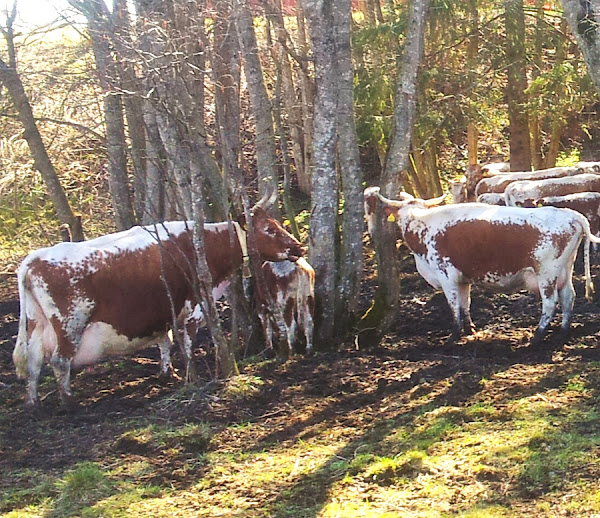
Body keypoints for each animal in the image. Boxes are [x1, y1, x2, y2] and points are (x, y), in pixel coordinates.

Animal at [12, 193, 304, 412]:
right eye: (269, 229)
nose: (298, 247)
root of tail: (34, 259)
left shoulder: (164, 310)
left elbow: (166, 340)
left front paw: (168, 373)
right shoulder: (194, 306)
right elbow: (187, 343)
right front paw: (191, 376)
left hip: (35, 324)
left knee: (34, 362)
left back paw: (32, 402)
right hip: (70, 323)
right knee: (59, 361)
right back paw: (68, 402)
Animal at [370, 189, 600, 348]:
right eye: (402, 215)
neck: (422, 226)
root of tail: (570, 215)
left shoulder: (446, 276)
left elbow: (453, 306)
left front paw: (454, 336)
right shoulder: (463, 279)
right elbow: (465, 304)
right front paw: (469, 329)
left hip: (546, 274)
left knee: (551, 303)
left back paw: (537, 336)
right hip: (564, 271)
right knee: (569, 297)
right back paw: (562, 331)